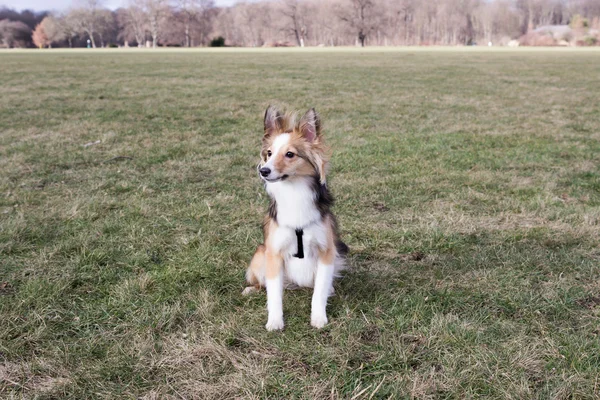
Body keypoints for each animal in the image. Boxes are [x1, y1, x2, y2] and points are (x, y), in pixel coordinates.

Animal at [243, 106, 346, 332]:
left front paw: (318, 317)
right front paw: (275, 321)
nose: (263, 171)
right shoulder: (274, 254)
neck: (294, 190)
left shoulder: (327, 251)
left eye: (290, 154)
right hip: (260, 254)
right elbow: (274, 294)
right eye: (269, 153)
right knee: (262, 283)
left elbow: (319, 292)